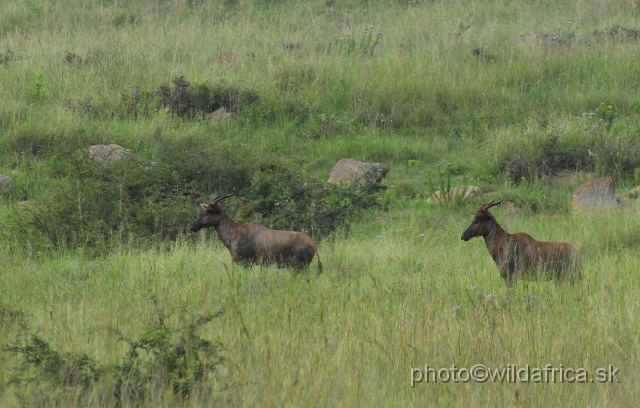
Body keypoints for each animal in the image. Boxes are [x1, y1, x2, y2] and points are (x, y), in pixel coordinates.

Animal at [189, 194, 320, 274]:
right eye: (205, 210)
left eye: (210, 211)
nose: (193, 227)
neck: (236, 232)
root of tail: (313, 244)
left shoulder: (246, 264)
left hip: (300, 267)